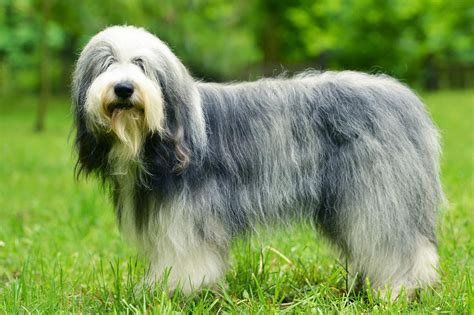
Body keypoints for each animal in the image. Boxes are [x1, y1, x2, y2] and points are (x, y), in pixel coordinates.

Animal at [72, 25, 442, 300]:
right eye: (106, 63)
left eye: (140, 63)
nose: (123, 88)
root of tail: (405, 100)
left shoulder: (188, 216)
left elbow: (187, 257)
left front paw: (180, 293)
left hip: (376, 194)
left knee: (396, 243)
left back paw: (400, 289)